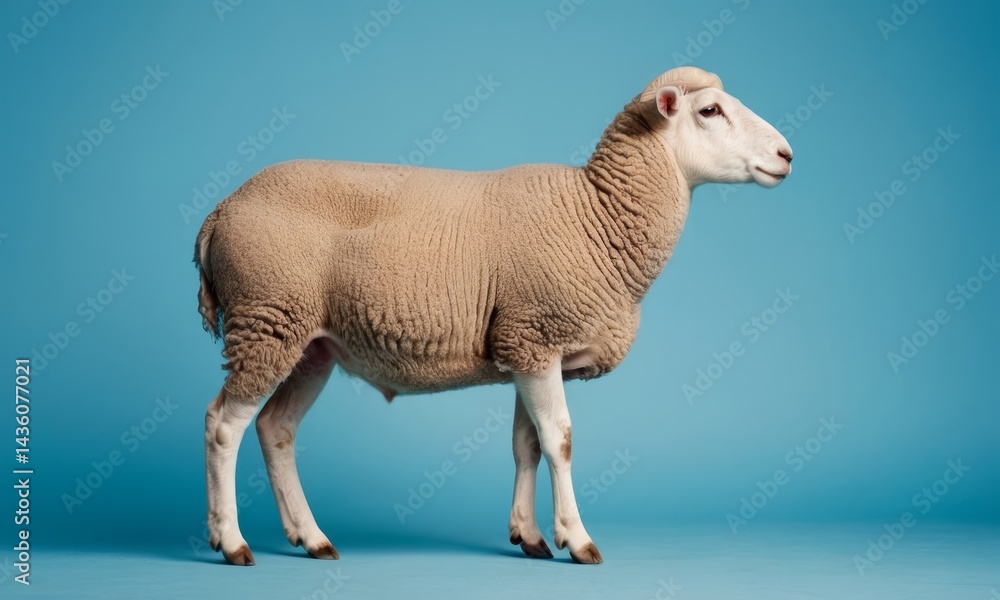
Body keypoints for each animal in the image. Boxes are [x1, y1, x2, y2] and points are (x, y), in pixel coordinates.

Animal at [194, 66, 793, 566]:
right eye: (709, 111)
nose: (787, 154)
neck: (594, 216)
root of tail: (221, 210)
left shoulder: (528, 346)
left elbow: (527, 445)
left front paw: (529, 537)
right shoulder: (536, 335)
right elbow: (561, 441)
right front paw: (577, 540)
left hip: (307, 341)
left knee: (275, 429)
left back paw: (312, 538)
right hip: (266, 316)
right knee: (224, 426)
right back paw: (232, 543)